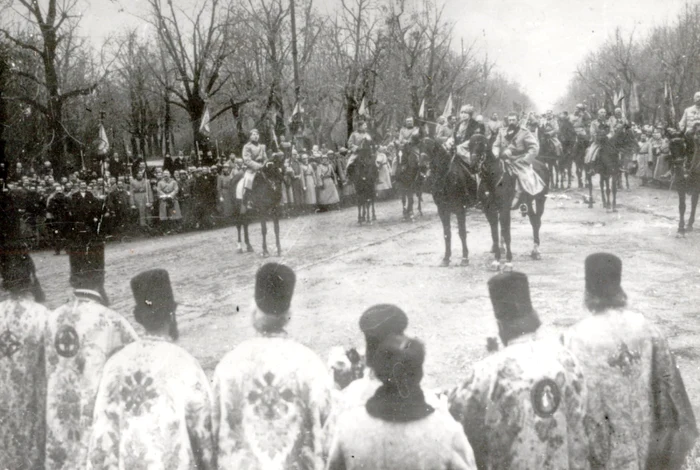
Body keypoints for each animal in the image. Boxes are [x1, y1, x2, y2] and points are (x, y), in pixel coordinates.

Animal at [418, 138, 478, 266]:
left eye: (432, 148)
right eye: (419, 147)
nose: (422, 167)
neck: (447, 178)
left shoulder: (460, 210)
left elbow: (462, 232)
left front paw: (465, 257)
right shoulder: (442, 210)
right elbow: (447, 234)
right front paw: (446, 258)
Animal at [468, 134, 548, 270]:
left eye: (482, 145)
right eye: (469, 145)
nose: (473, 165)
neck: (493, 178)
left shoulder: (504, 209)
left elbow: (506, 233)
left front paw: (508, 261)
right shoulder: (489, 211)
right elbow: (495, 234)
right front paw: (496, 260)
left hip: (540, 200)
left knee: (537, 223)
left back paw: (536, 251)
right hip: (529, 203)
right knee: (533, 220)